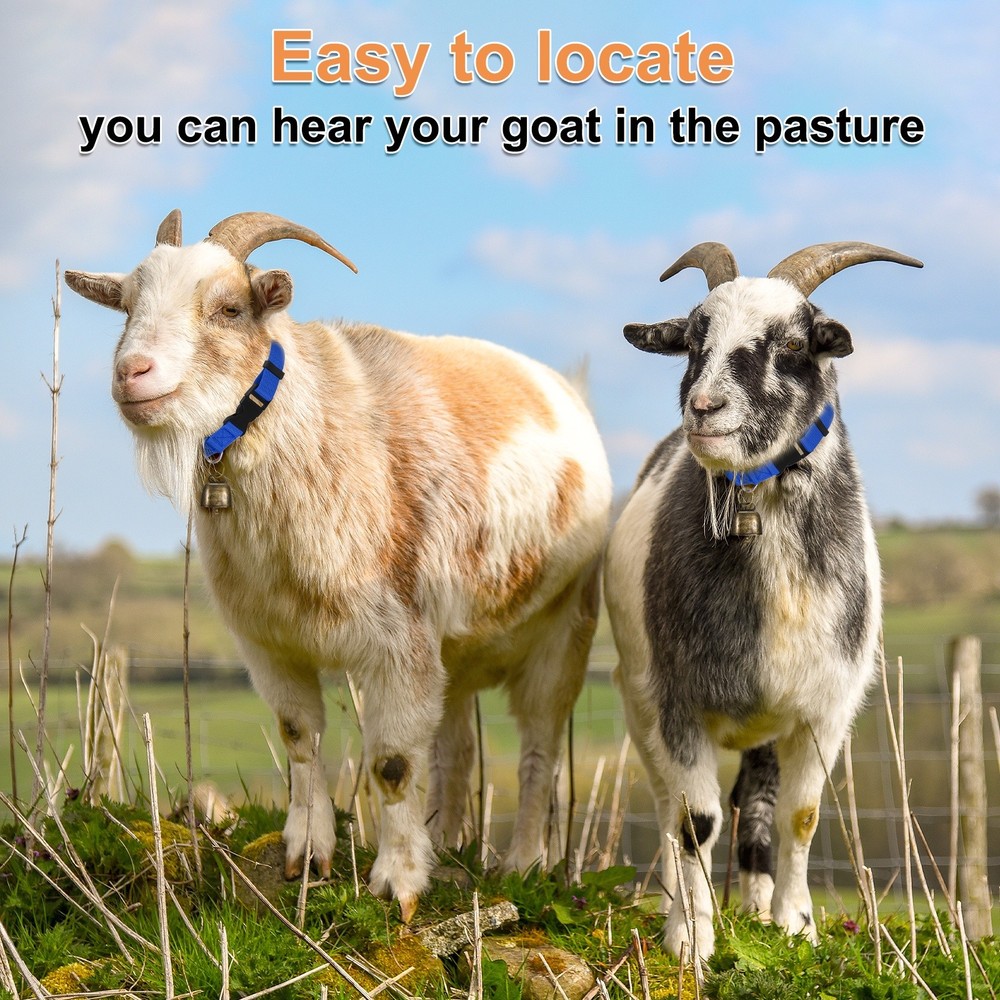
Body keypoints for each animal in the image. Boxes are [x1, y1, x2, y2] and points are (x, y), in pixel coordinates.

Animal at [66, 210, 612, 920]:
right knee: (457, 750)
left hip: (564, 628)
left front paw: (398, 885)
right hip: (456, 653)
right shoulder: (270, 642)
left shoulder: (399, 642)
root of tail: (566, 391)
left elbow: (392, 763)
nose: (133, 373)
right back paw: (450, 844)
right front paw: (307, 853)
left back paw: (522, 864)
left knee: (539, 749)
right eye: (127, 304)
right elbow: (300, 737)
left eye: (230, 308)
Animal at [603, 241, 921, 957]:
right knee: (668, 806)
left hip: (767, 724)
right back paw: (682, 899)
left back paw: (754, 904)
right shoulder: (676, 701)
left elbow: (802, 817)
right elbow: (694, 821)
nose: (704, 407)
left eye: (796, 343)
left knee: (758, 802)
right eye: (694, 340)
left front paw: (795, 924)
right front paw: (691, 938)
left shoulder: (824, 710)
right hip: (638, 701)